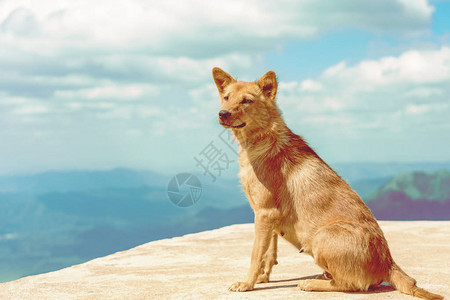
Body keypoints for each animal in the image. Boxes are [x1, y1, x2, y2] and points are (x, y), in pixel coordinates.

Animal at [212, 68, 442, 300]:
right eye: (227, 97)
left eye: (247, 101)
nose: (223, 114)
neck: (262, 138)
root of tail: (388, 262)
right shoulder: (268, 217)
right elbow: (268, 253)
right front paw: (261, 277)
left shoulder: (265, 213)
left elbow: (255, 253)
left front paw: (247, 283)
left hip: (322, 236)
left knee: (351, 285)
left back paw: (311, 283)